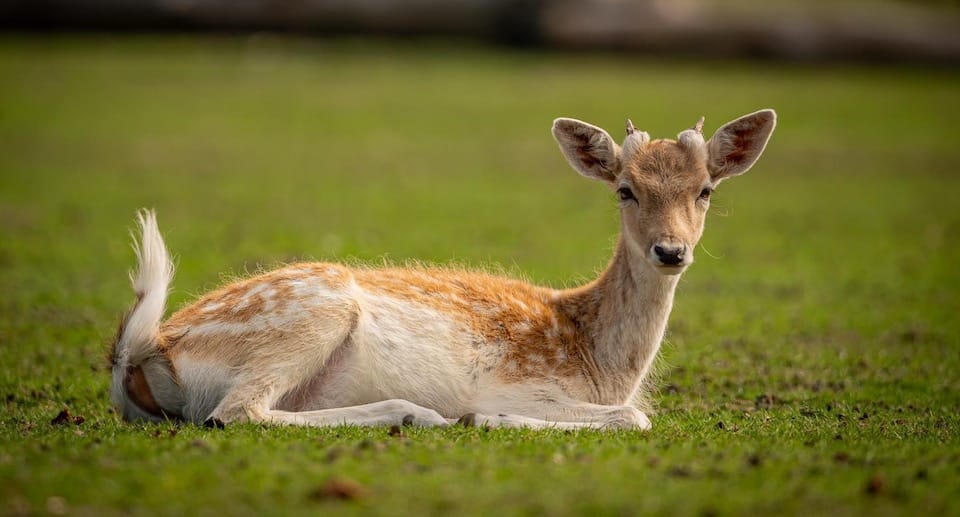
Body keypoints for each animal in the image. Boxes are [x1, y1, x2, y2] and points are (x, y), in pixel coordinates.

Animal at [109, 109, 776, 428]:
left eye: (706, 190)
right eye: (625, 190)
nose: (671, 251)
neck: (600, 361)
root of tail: (143, 353)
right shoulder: (528, 384)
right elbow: (636, 416)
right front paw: (487, 417)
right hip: (309, 314)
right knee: (234, 413)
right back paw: (416, 413)